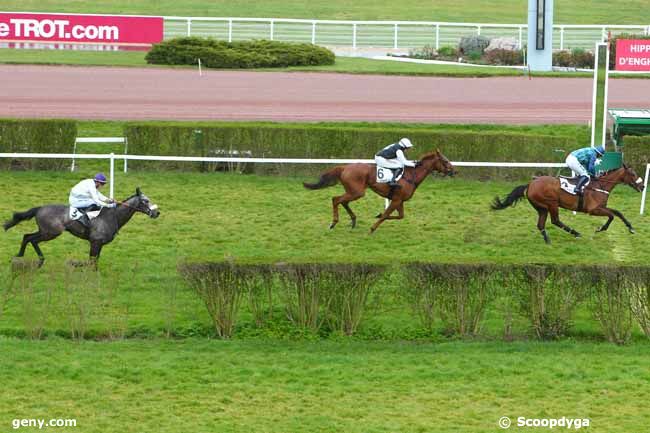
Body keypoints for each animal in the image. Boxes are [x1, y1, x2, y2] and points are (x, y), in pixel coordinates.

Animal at [2, 186, 159, 264]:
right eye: (145, 201)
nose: (156, 212)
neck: (112, 216)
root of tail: (39, 208)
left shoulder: (99, 244)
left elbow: (94, 261)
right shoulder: (95, 242)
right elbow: (91, 261)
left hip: (45, 231)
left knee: (27, 236)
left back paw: (21, 255)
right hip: (51, 232)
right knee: (32, 239)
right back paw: (39, 259)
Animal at [302, 151, 450, 233]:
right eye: (445, 161)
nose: (453, 171)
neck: (411, 176)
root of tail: (344, 167)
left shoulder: (399, 200)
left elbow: (399, 216)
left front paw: (378, 215)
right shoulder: (396, 200)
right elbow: (386, 215)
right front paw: (372, 229)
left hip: (353, 191)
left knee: (343, 201)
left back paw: (353, 220)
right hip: (357, 191)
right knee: (336, 199)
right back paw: (333, 223)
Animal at [492, 165, 644, 243]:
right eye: (633, 174)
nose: (642, 186)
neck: (600, 185)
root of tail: (530, 184)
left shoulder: (601, 207)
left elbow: (618, 212)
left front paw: (631, 228)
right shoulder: (593, 209)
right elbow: (612, 216)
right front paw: (600, 228)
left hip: (541, 207)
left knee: (541, 224)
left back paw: (547, 240)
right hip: (552, 203)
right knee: (555, 221)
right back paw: (575, 233)